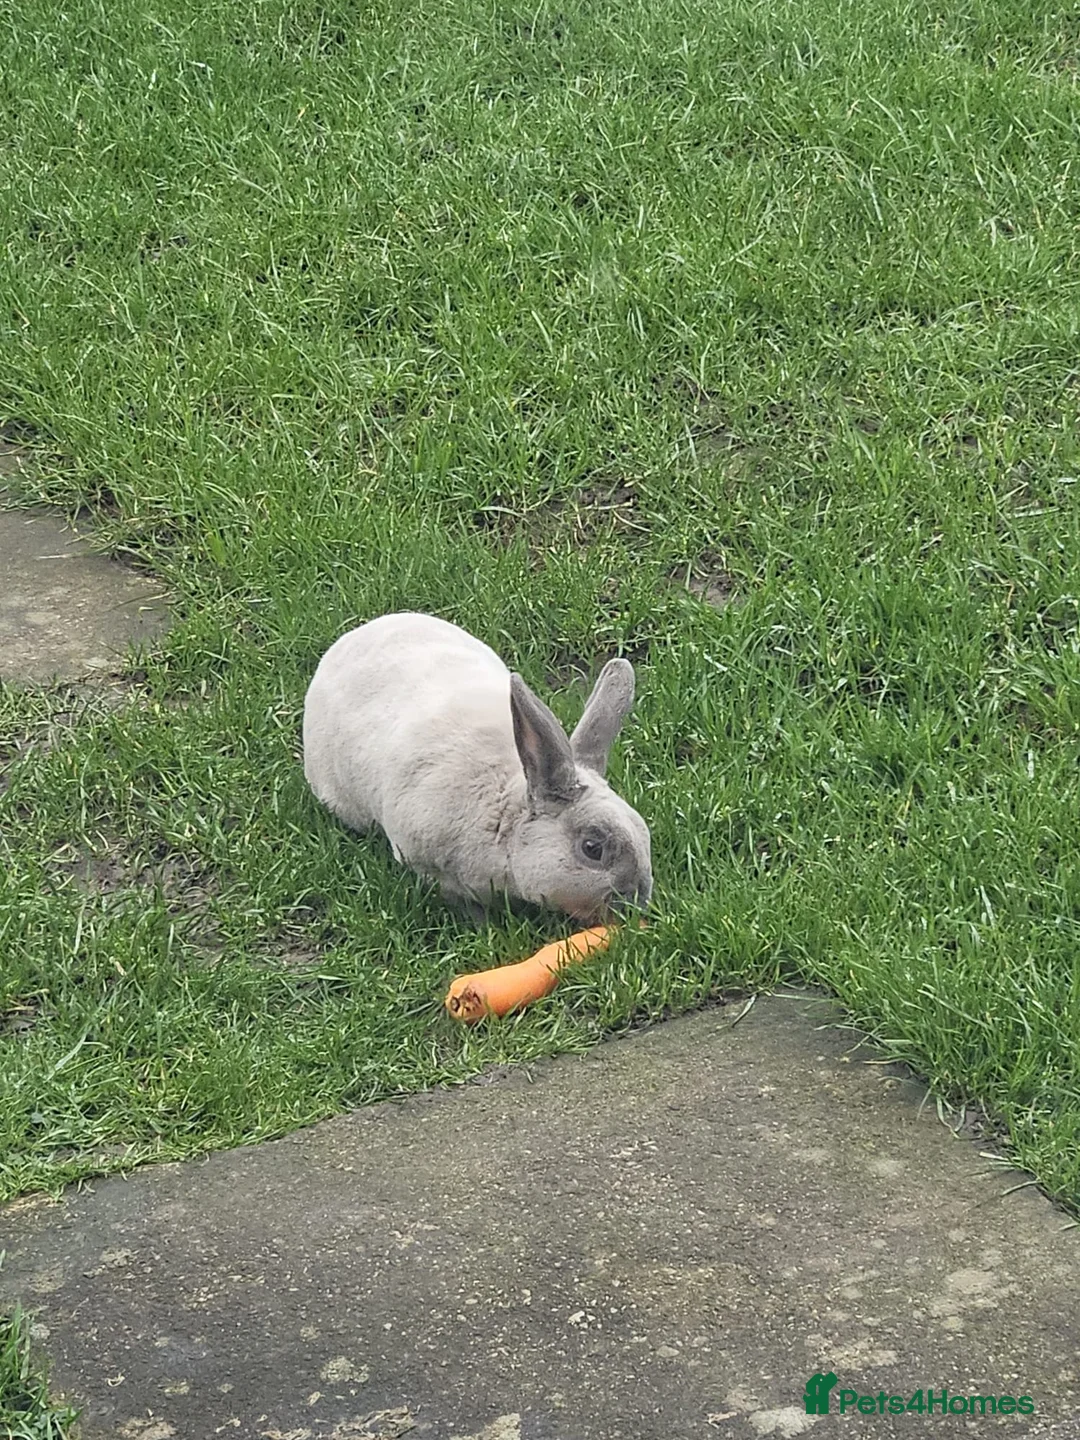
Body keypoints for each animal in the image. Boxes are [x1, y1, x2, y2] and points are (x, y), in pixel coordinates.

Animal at [302, 612, 652, 924]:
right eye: (592, 848)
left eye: (644, 832)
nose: (637, 901)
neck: (505, 814)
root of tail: (352, 638)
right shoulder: (428, 866)